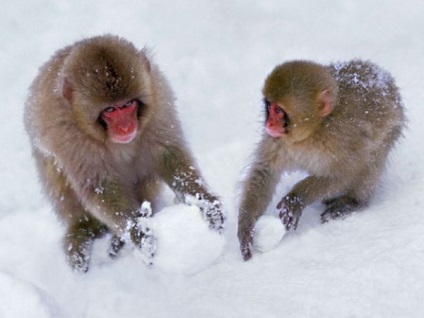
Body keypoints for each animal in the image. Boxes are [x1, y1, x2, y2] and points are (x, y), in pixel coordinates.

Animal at [24, 35, 225, 274]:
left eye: (128, 104)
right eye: (110, 110)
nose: (126, 127)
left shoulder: (158, 104)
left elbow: (167, 155)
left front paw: (205, 202)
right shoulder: (69, 134)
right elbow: (100, 185)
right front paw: (137, 231)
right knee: (57, 178)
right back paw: (82, 229)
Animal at [237, 59, 406, 260]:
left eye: (278, 110)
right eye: (269, 107)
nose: (268, 123)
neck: (313, 131)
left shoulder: (342, 139)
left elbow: (346, 173)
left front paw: (297, 198)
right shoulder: (278, 140)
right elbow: (265, 170)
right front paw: (246, 226)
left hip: (391, 128)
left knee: (371, 161)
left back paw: (354, 202)